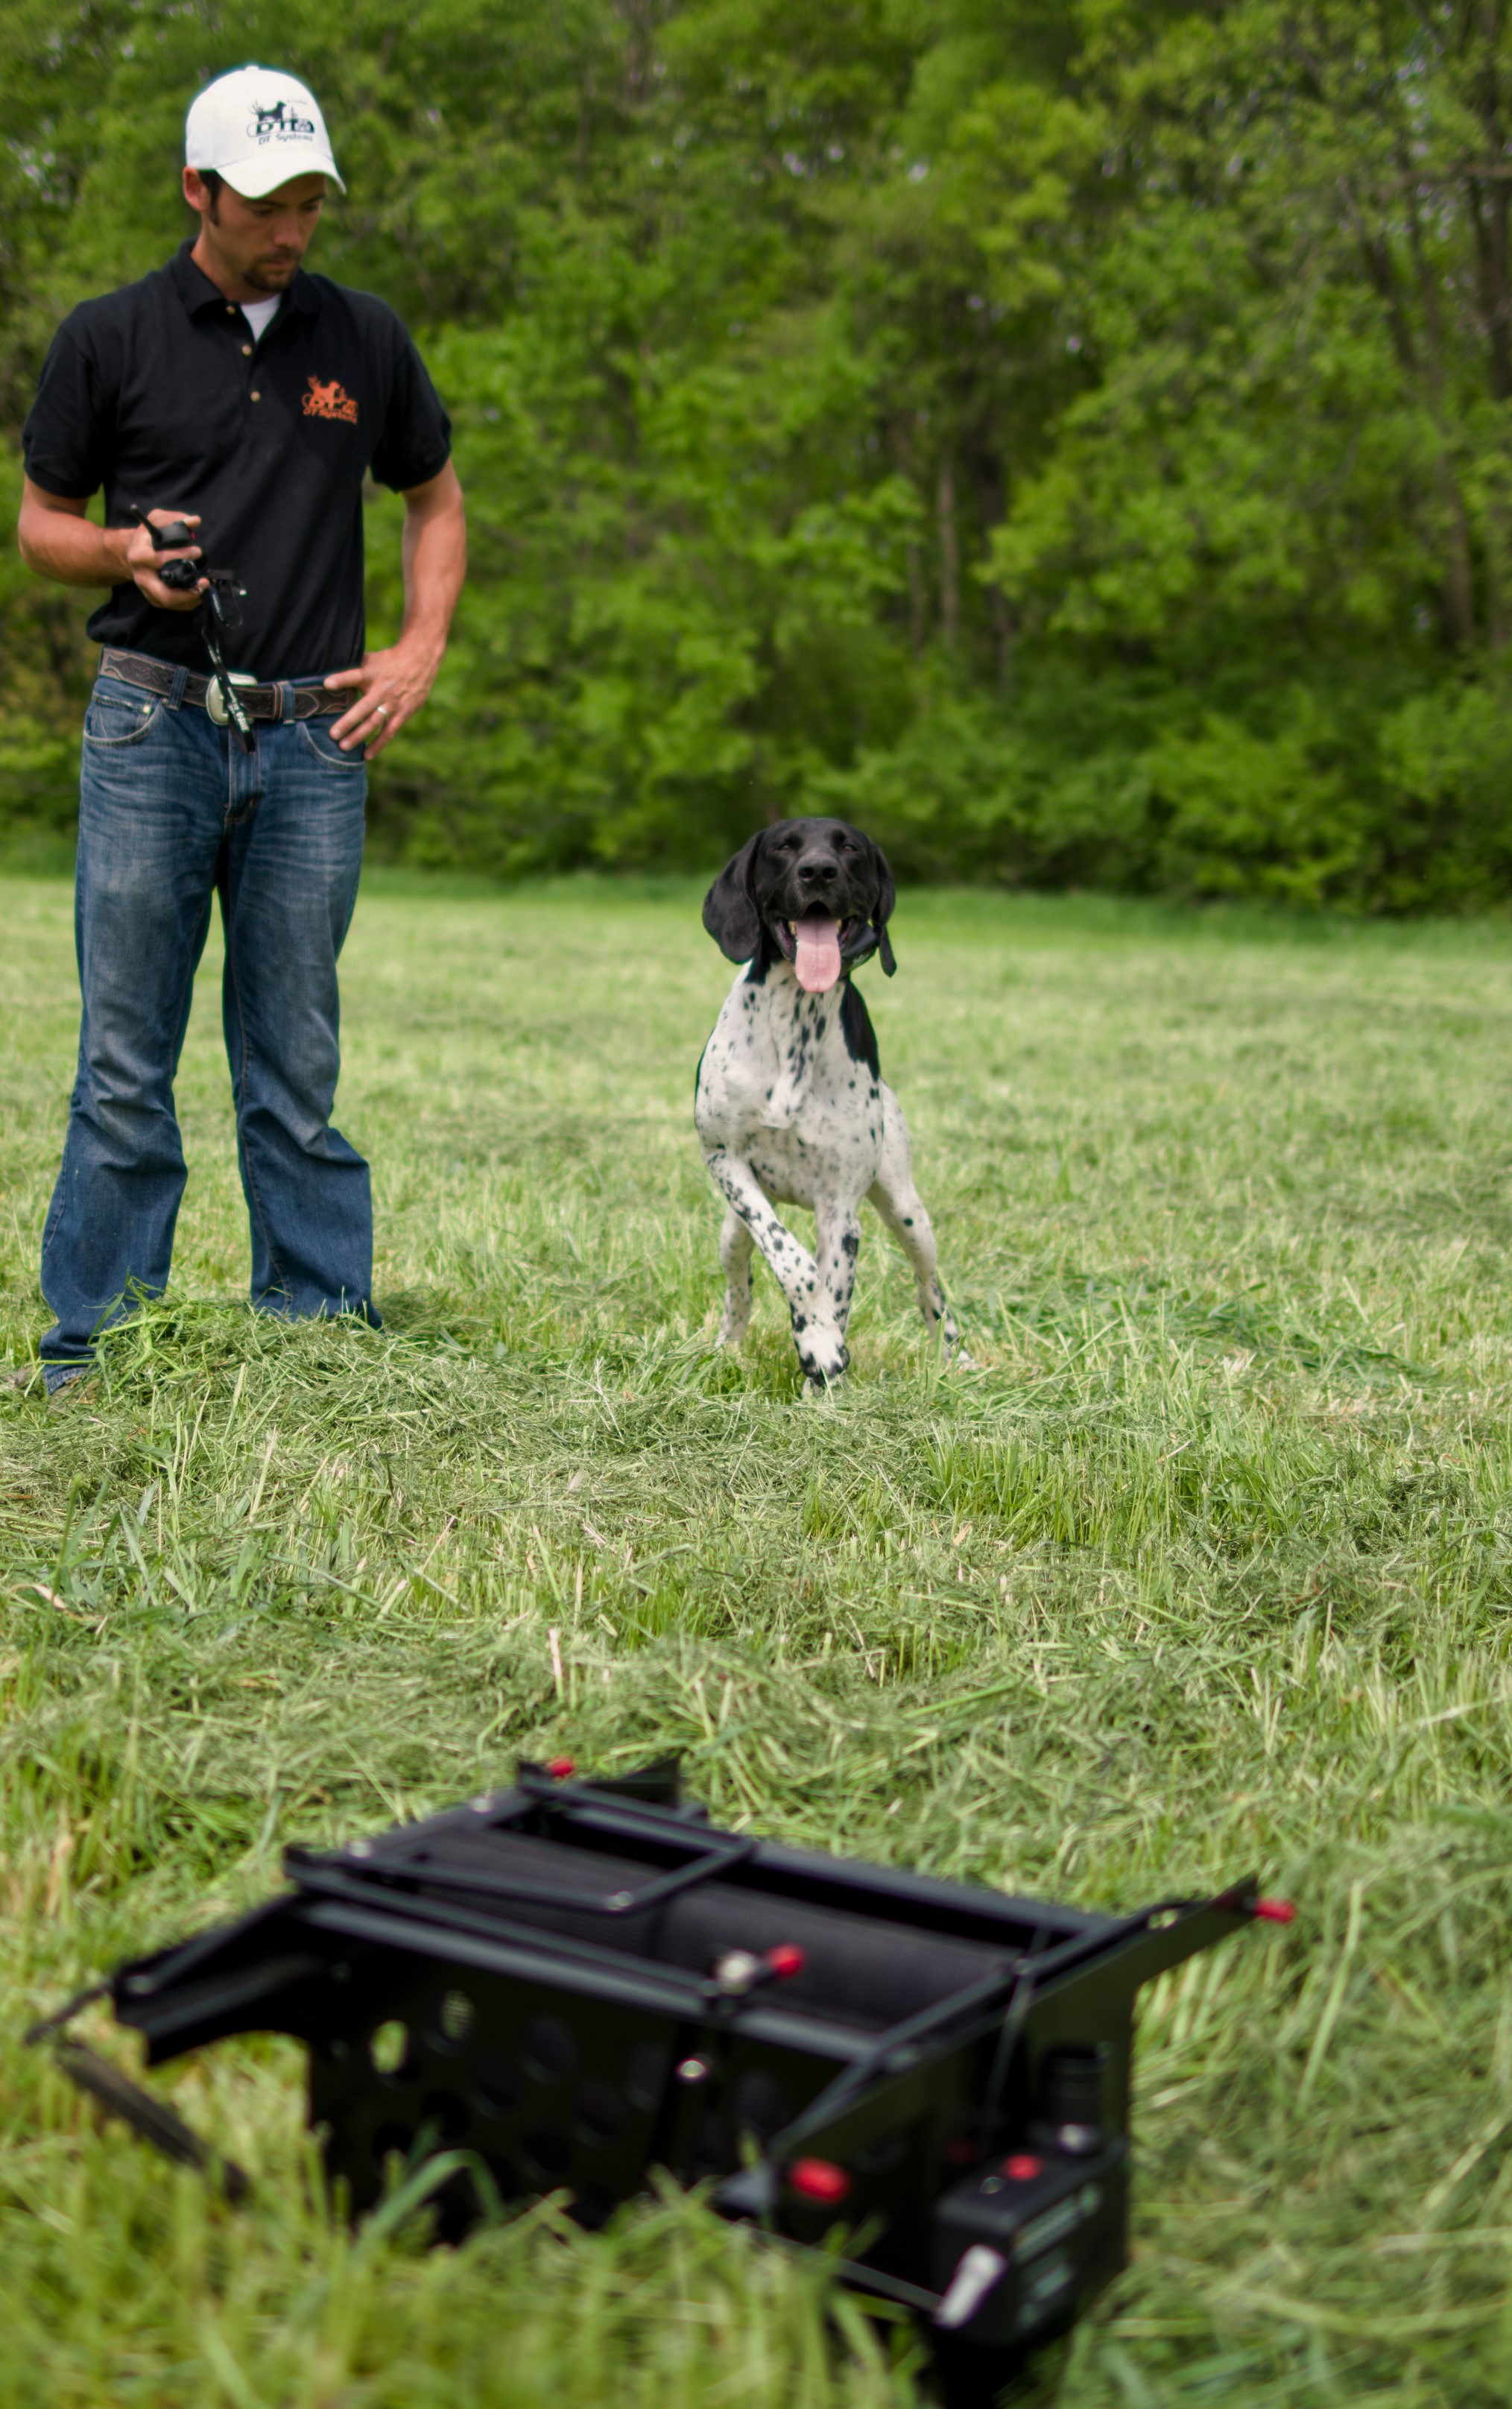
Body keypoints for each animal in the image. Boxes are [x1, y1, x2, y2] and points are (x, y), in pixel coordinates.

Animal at [693, 818, 958, 1397]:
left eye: (850, 847)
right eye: (782, 846)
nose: (818, 871)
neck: (798, 1017)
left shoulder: (840, 1206)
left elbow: (833, 1287)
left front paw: (821, 1352)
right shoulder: (724, 1159)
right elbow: (789, 1259)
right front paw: (816, 1335)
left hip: (908, 1212)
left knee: (933, 1292)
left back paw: (959, 1360)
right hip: (730, 1236)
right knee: (741, 1287)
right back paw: (727, 1349)